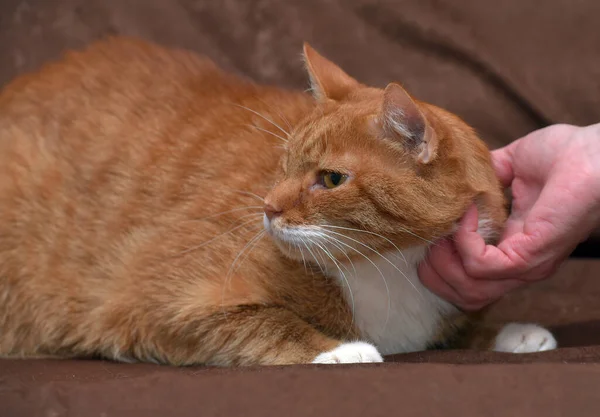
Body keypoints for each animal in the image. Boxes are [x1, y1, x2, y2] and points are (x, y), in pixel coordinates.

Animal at [0, 38, 556, 364]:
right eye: (283, 164)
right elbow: (270, 322)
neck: (388, 269)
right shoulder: (157, 297)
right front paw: (339, 352)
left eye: (330, 179)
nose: (267, 210)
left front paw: (510, 333)